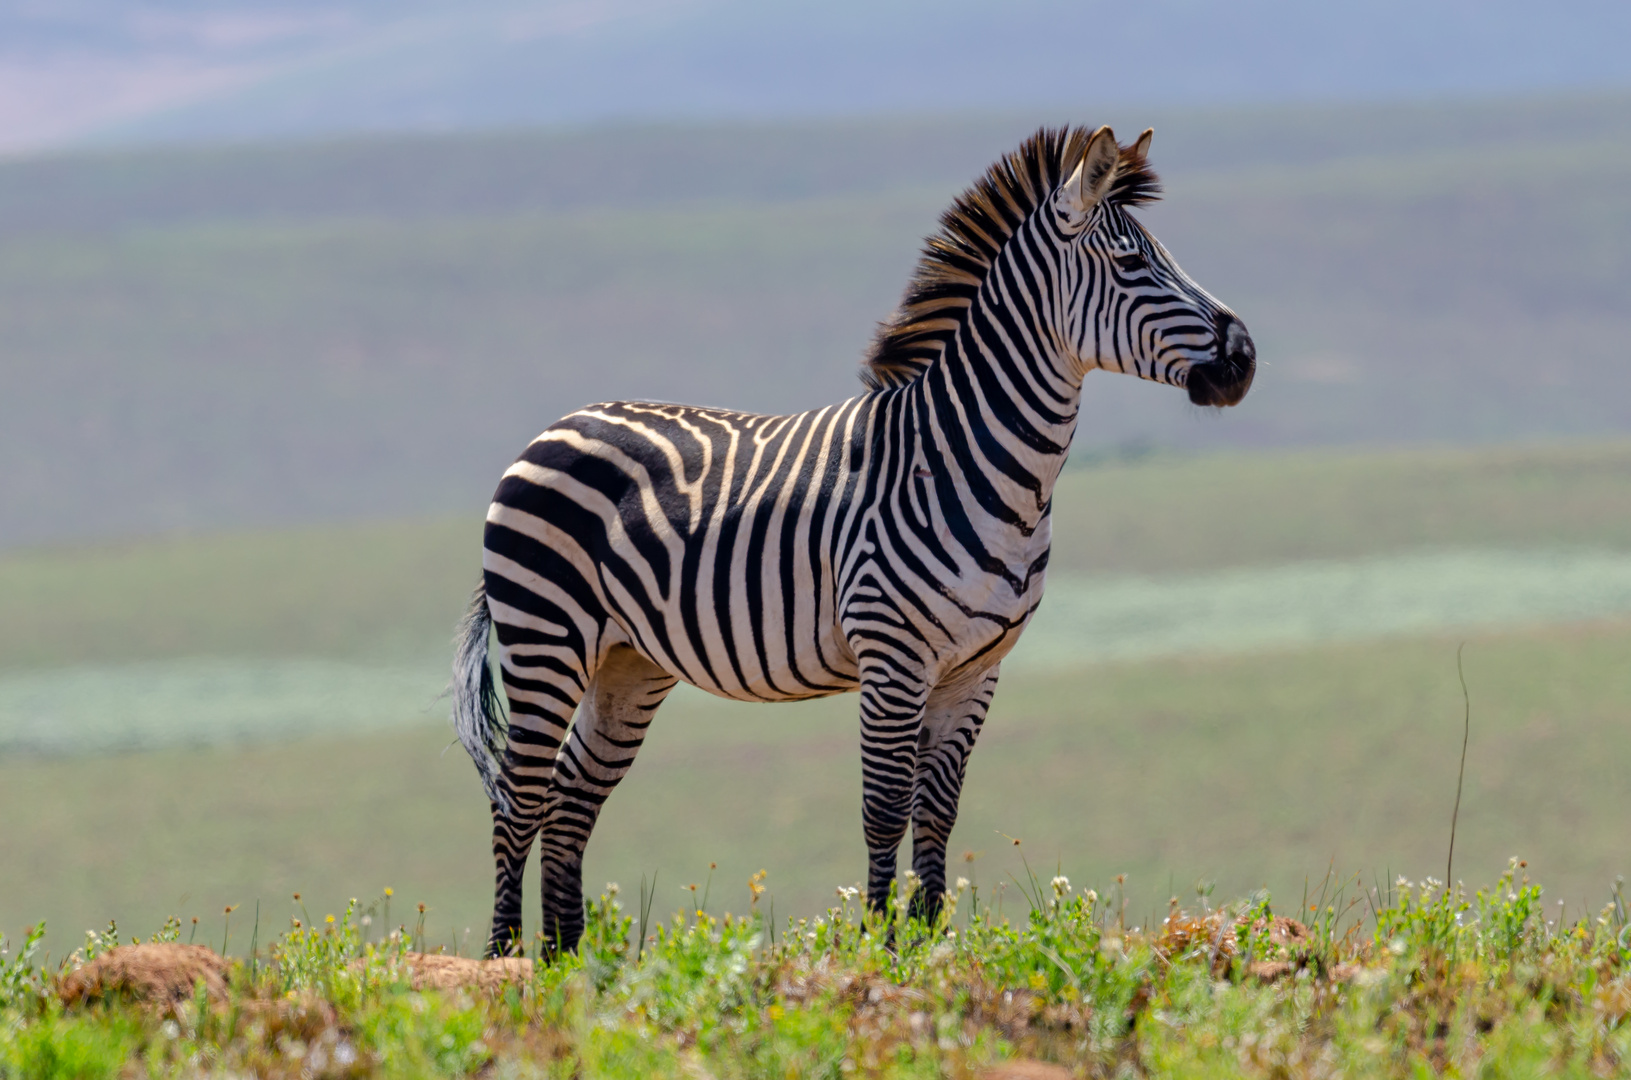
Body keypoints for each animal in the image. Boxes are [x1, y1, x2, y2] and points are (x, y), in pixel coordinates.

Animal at [453, 122, 1252, 959]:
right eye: (1132, 264)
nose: (1244, 359)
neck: (967, 458)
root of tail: (556, 425)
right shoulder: (891, 654)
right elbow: (884, 806)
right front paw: (879, 943)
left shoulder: (976, 668)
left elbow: (937, 810)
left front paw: (930, 943)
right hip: (545, 635)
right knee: (519, 797)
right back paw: (507, 961)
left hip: (627, 660)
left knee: (571, 797)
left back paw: (567, 964)